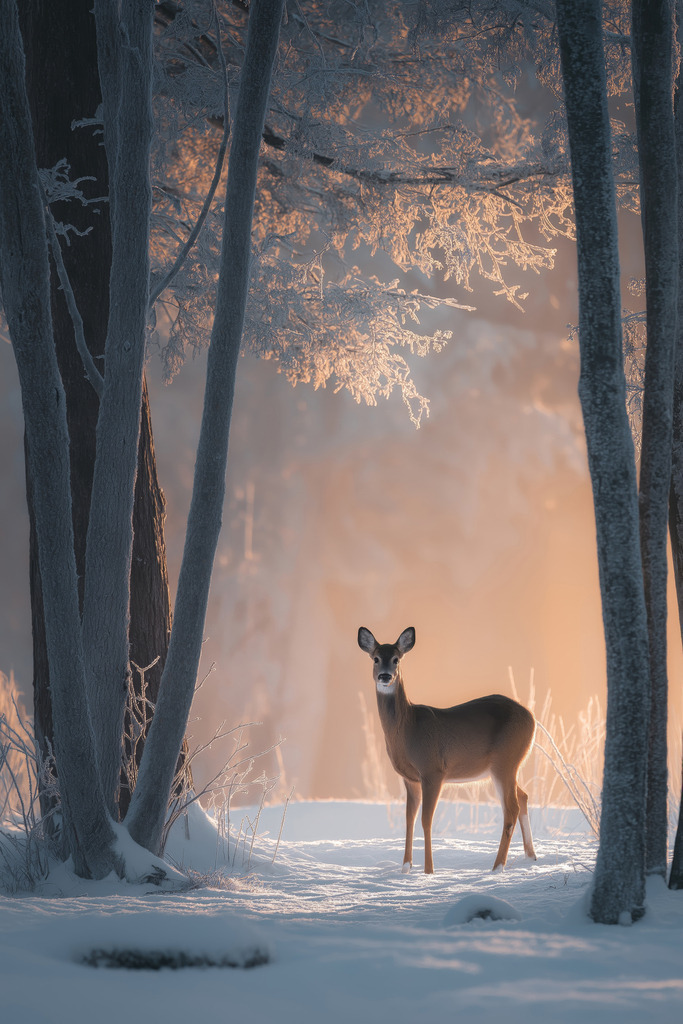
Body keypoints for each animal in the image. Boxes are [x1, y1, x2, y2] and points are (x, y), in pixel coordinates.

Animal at [358, 626, 537, 874]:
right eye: (375, 658)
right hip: (506, 766)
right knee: (523, 796)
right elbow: (409, 819)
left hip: (506, 760)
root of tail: (532, 718)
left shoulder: (433, 770)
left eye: (396, 659)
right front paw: (405, 868)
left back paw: (497, 867)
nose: (385, 676)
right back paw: (531, 857)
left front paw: (429, 871)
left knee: (511, 808)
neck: (408, 729)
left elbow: (426, 820)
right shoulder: (409, 778)